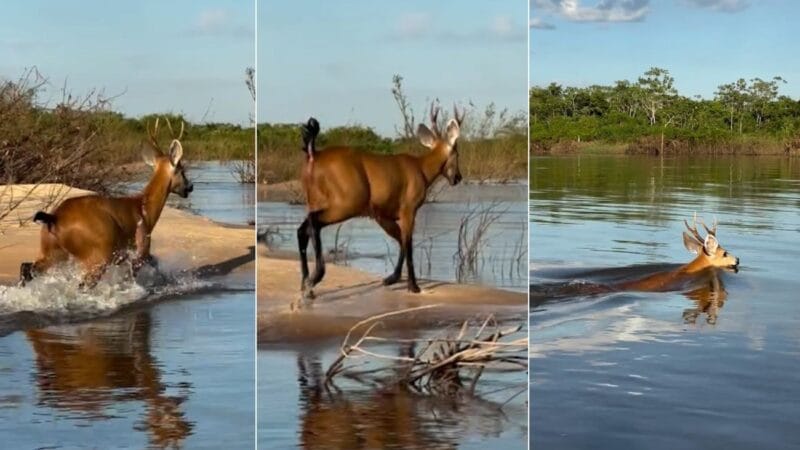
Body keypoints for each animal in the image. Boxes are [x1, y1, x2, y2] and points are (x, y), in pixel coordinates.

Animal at [19, 118, 193, 288]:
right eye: (182, 171)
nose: (190, 187)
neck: (144, 209)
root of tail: (54, 218)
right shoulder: (140, 249)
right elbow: (139, 272)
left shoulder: (126, 256)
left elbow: (155, 264)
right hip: (97, 255)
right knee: (83, 284)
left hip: (52, 251)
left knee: (26, 267)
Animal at [297, 103, 465, 302]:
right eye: (457, 153)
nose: (458, 177)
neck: (421, 169)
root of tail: (314, 154)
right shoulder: (409, 209)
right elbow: (408, 243)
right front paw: (413, 286)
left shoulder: (382, 215)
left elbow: (401, 241)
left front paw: (392, 278)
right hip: (347, 203)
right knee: (313, 222)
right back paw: (314, 279)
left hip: (315, 200)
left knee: (302, 229)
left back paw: (306, 285)